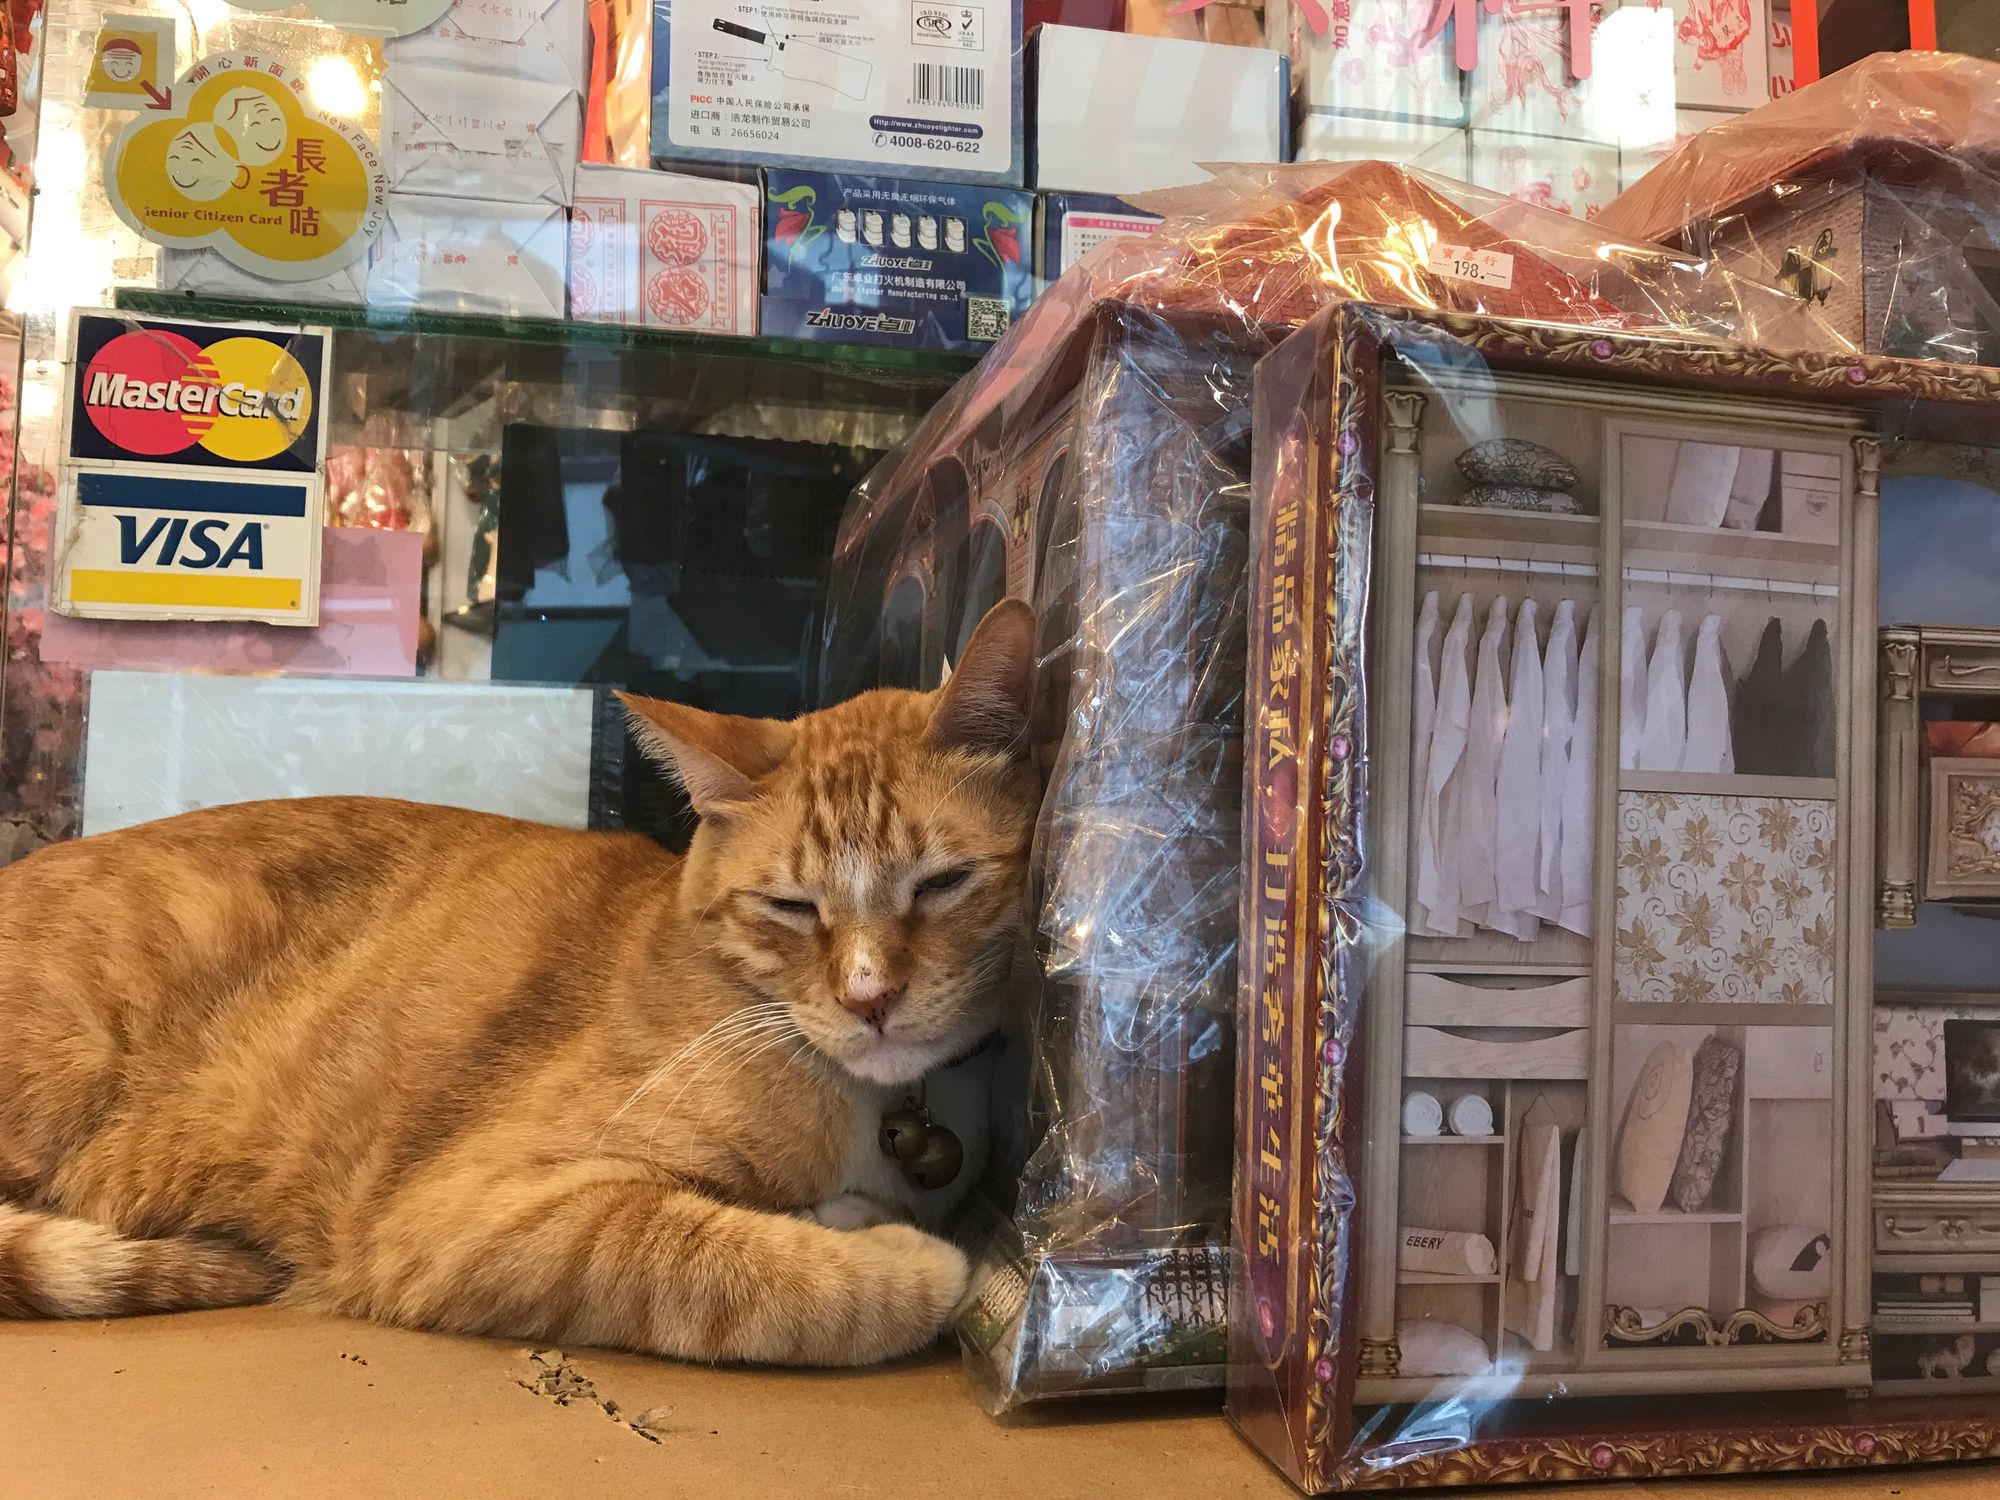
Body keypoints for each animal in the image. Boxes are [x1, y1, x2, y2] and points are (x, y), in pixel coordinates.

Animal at [0, 604, 1040, 1376]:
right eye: (790, 905)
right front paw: (909, 1256)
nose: (871, 999)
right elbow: (760, 1274)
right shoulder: (480, 1219)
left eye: (942, 884)